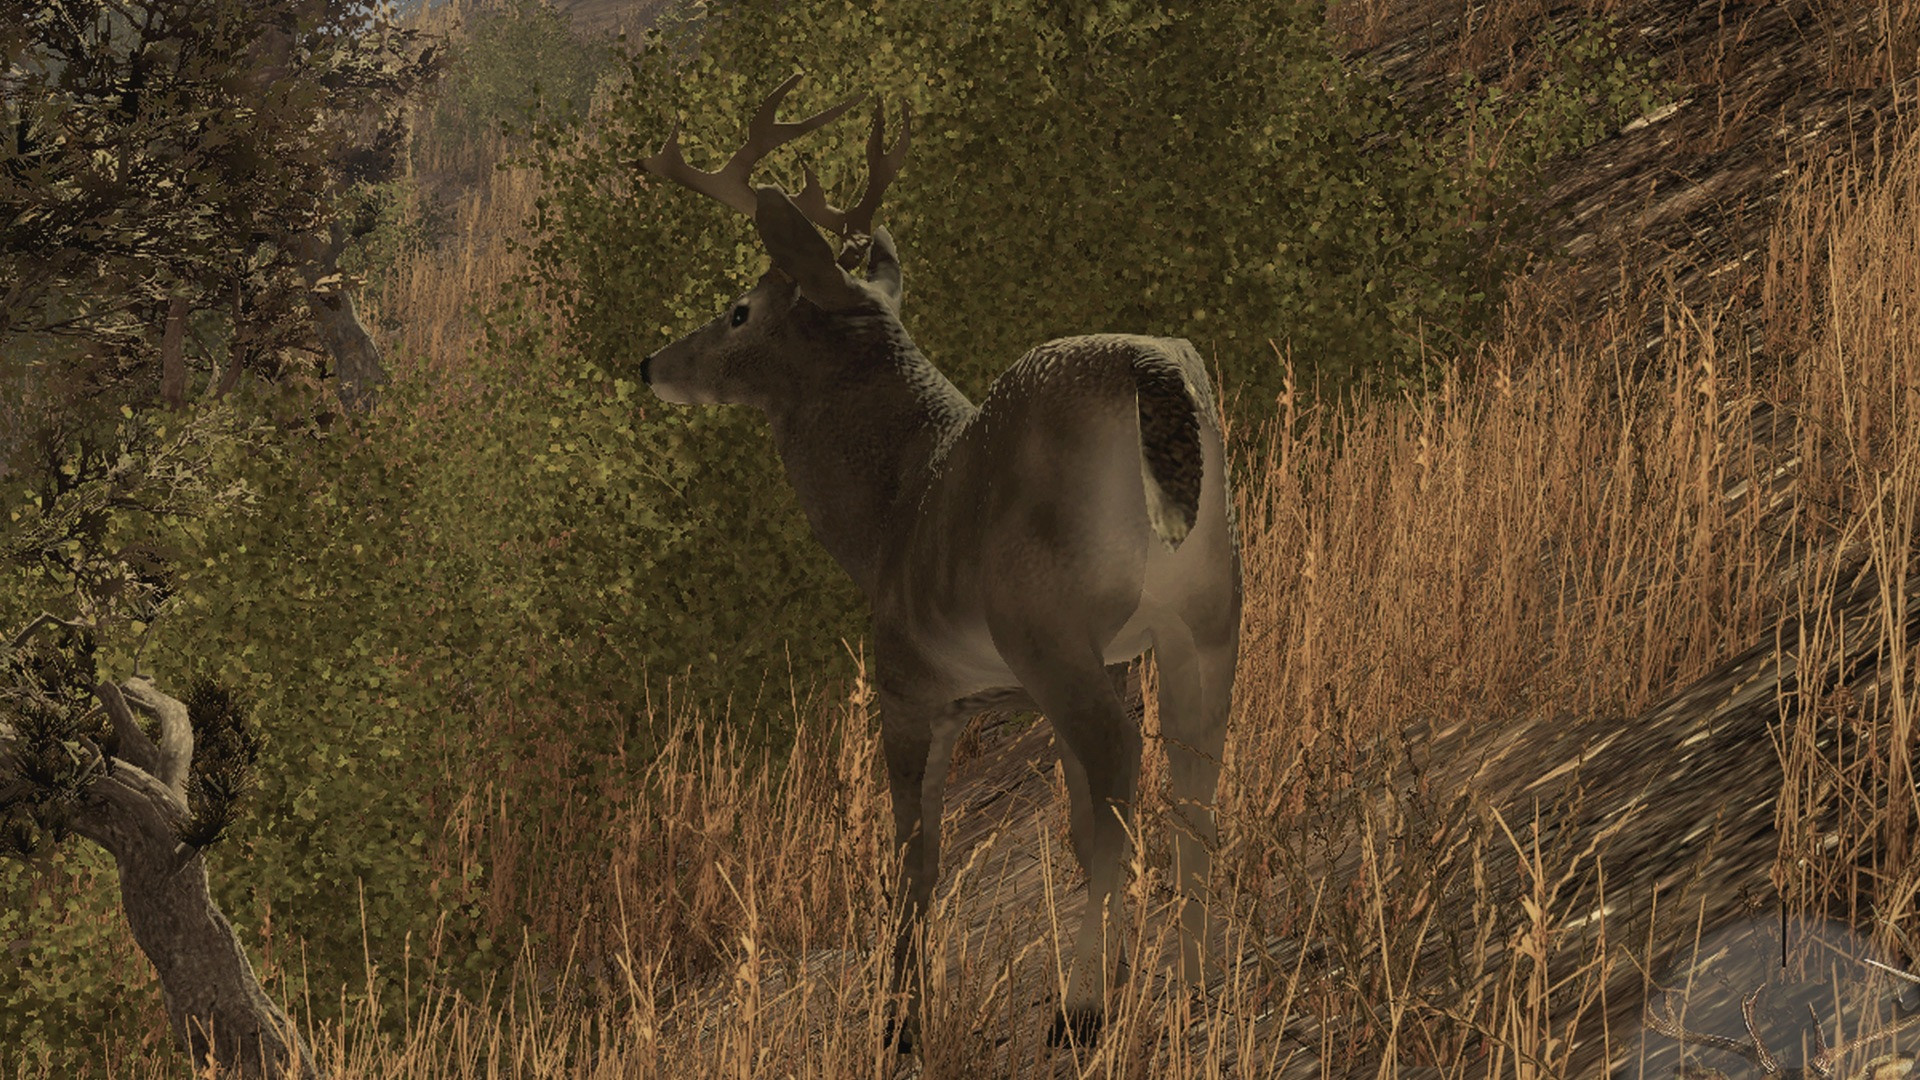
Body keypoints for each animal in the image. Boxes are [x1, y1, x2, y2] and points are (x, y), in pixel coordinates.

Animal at [633, 74, 1242, 1049]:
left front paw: (899, 1024)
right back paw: (1189, 984)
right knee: (1196, 764)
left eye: (738, 309)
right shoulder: (1046, 676)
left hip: (1048, 618)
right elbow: (1065, 825)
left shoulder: (912, 686)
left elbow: (915, 857)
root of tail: (1150, 373)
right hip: (1208, 596)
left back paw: (1081, 1011)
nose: (650, 362)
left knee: (1122, 757)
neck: (890, 514)